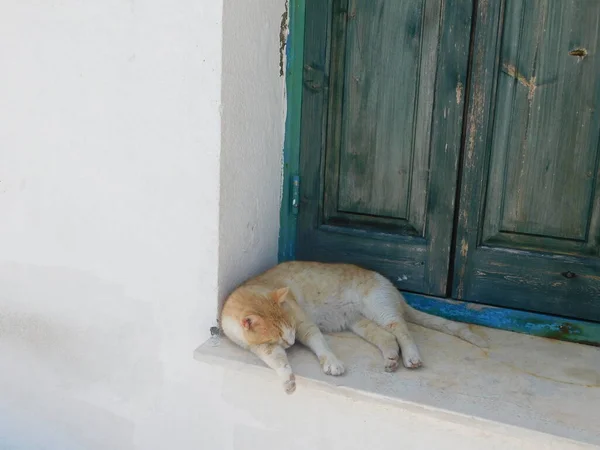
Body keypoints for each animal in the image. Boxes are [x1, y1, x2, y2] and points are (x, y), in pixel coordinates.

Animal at [220, 260, 488, 394]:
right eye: (278, 335)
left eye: (291, 328)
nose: (291, 342)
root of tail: (394, 290)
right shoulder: (265, 349)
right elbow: (279, 362)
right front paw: (288, 381)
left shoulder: (304, 324)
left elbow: (320, 344)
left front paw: (332, 363)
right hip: (360, 322)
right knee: (387, 338)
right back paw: (392, 359)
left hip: (380, 309)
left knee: (402, 330)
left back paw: (411, 357)